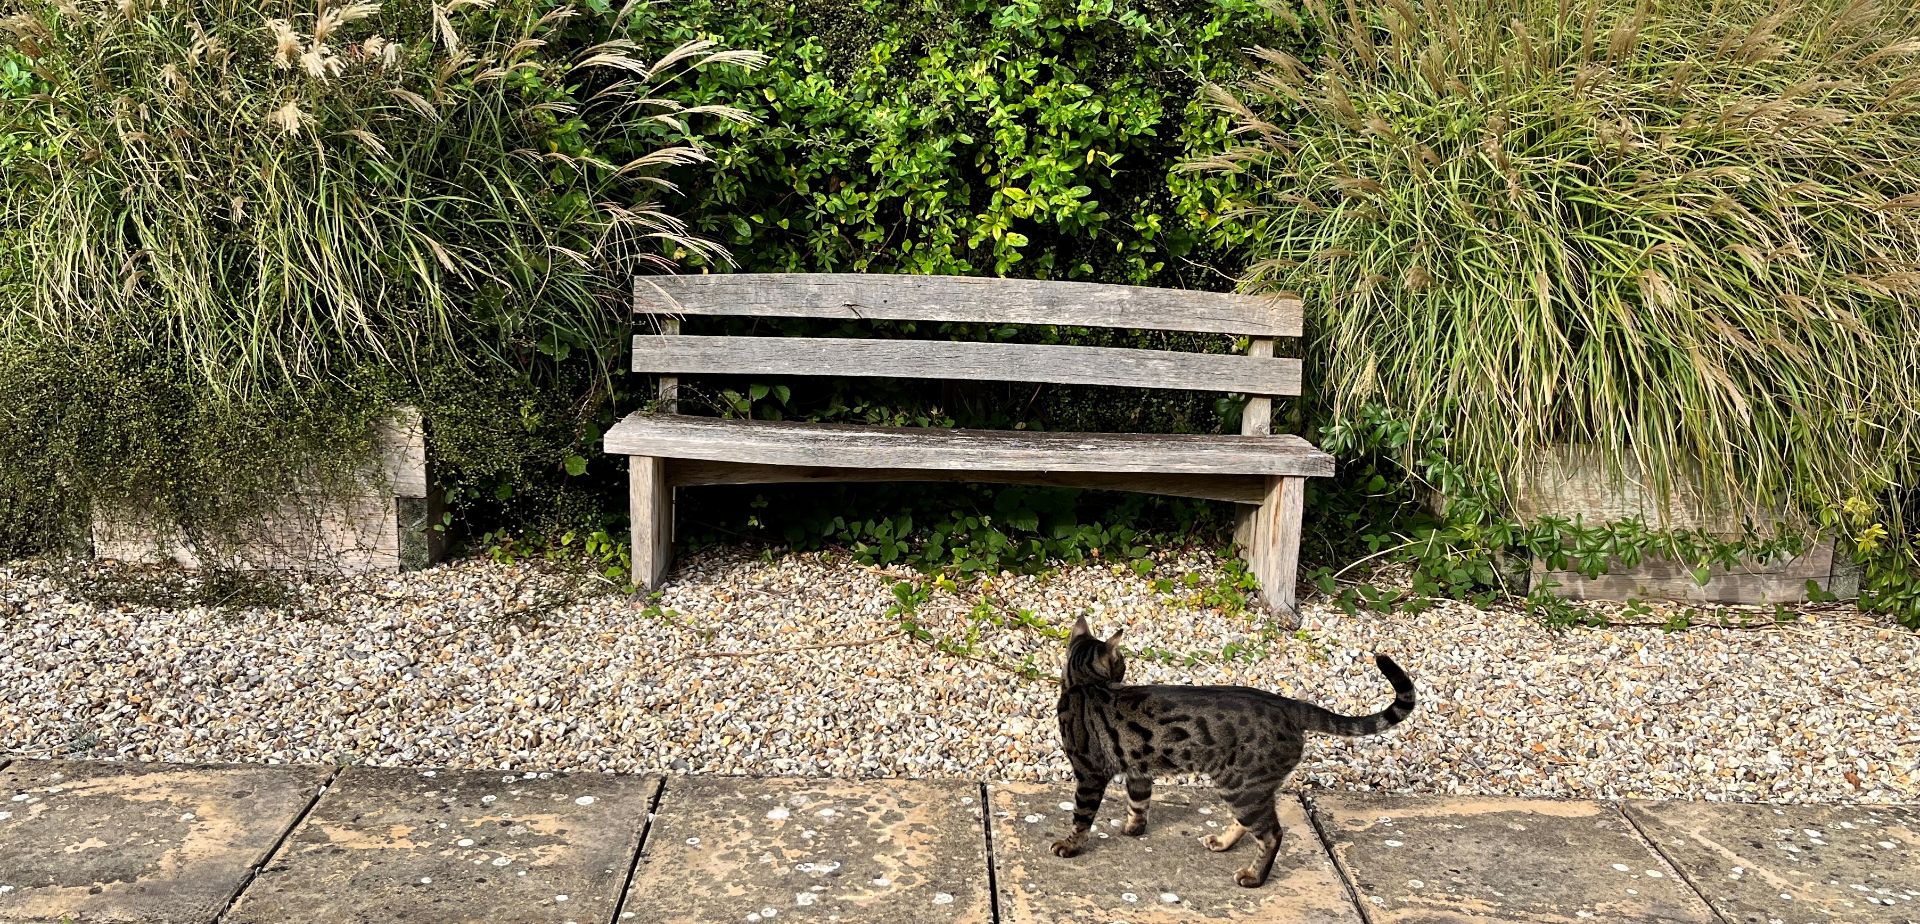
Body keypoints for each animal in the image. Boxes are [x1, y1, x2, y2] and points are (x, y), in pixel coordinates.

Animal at [1052, 614, 1413, 883]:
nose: (1126, 667)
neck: (1082, 684)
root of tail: (1289, 705)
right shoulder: (1139, 768)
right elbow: (1138, 803)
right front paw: (1133, 829)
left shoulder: (1089, 773)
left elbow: (1082, 817)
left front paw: (1070, 846)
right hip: (1246, 784)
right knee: (1251, 823)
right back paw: (1223, 843)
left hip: (1241, 785)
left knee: (1272, 834)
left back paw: (1254, 877)